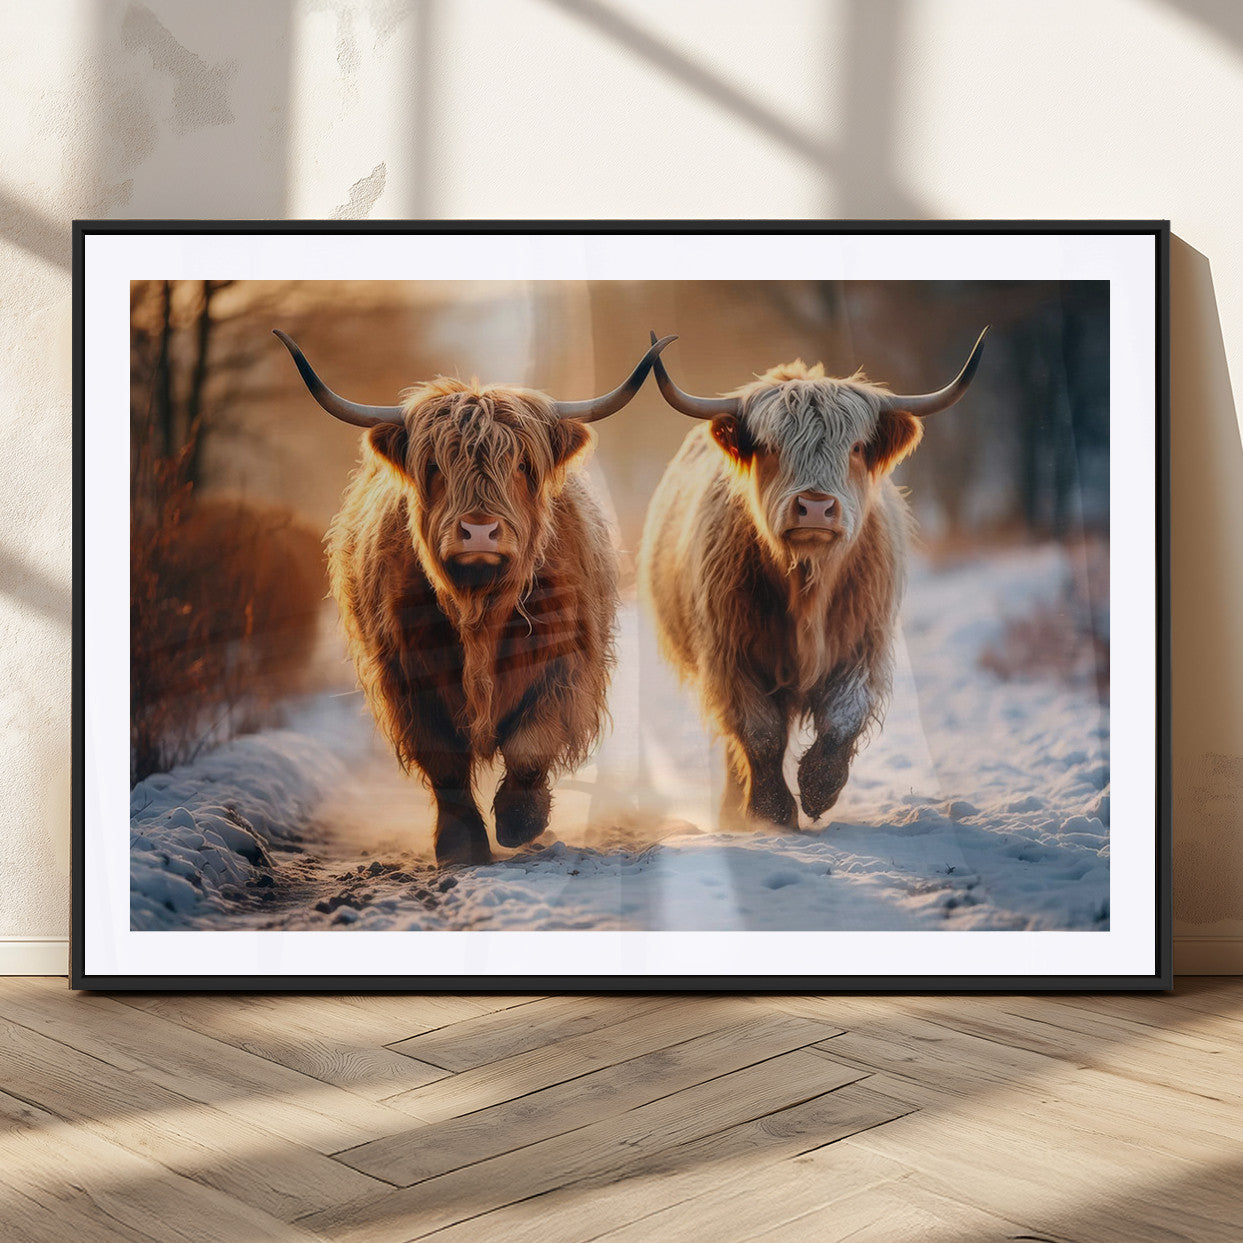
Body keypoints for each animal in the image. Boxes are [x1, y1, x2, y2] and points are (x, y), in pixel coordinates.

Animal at [275, 329, 674, 865]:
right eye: (434, 465)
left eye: (522, 464)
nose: (479, 531)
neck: (479, 607)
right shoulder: (407, 673)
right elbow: (442, 759)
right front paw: (461, 846)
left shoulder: (564, 663)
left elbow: (530, 743)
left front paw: (520, 821)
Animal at [638, 329, 987, 831]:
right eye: (770, 447)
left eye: (856, 447)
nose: (816, 507)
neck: (808, 582)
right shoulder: (731, 654)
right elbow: (759, 733)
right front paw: (771, 811)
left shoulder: (863, 643)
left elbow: (843, 717)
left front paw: (819, 789)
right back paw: (732, 811)